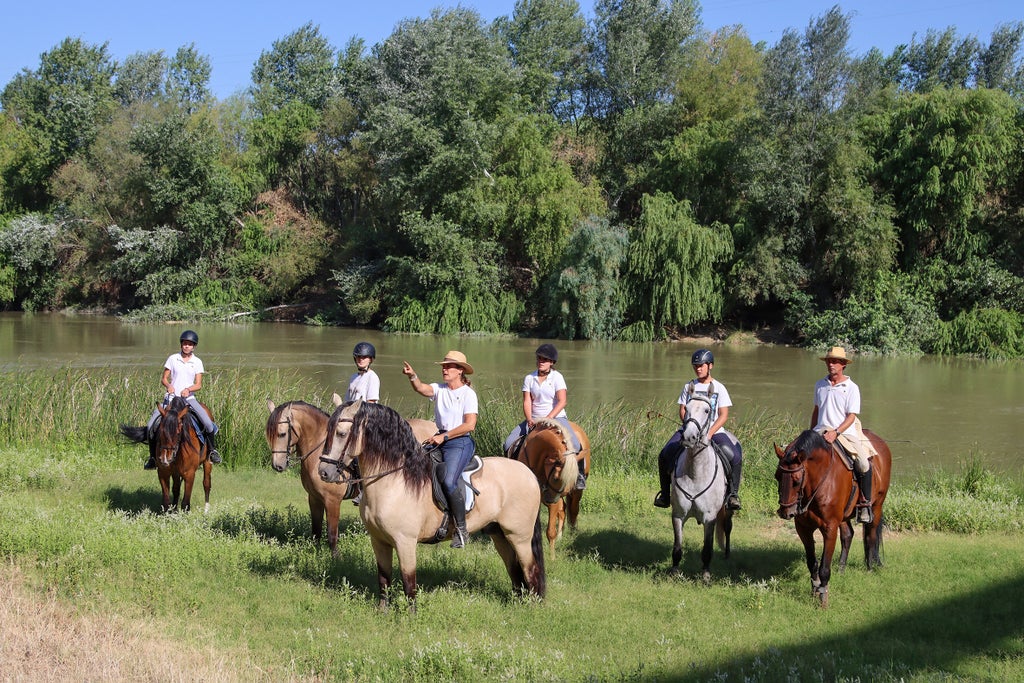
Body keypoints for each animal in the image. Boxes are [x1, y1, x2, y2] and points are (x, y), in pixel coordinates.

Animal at [266, 398, 439, 556]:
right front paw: (315, 553)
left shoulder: (332, 500)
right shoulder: (314, 498)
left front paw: (335, 558)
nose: (277, 465)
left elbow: (332, 534)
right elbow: (316, 531)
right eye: (269, 435)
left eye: (282, 434)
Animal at [317, 400, 546, 610]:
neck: (394, 481)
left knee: (530, 569)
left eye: (341, 433)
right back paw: (517, 603)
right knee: (514, 568)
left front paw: (410, 616)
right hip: (499, 534)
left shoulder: (405, 542)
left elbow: (409, 581)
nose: (324, 472)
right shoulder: (379, 541)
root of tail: (528, 473)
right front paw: (383, 611)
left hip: (519, 536)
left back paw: (532, 607)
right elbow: (383, 577)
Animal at [513, 418, 591, 557]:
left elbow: (550, 531)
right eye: (555, 478)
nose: (549, 499)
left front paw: (552, 557)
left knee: (573, 509)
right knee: (564, 508)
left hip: (574, 493)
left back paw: (571, 531)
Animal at [669, 394, 733, 581]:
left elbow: (707, 549)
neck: (695, 473)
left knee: (727, 527)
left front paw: (705, 575)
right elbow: (677, 546)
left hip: (728, 509)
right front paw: (674, 571)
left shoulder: (709, 518)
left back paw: (727, 554)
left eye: (706, 410)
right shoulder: (678, 514)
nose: (689, 437)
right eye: (687, 408)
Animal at [774, 429, 892, 608]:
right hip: (844, 516)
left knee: (871, 537)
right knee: (848, 535)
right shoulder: (803, 528)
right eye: (777, 476)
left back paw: (870, 568)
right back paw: (842, 569)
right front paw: (815, 590)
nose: (785, 512)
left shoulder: (829, 527)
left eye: (796, 480)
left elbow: (824, 567)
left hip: (877, 506)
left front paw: (823, 598)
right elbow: (812, 563)